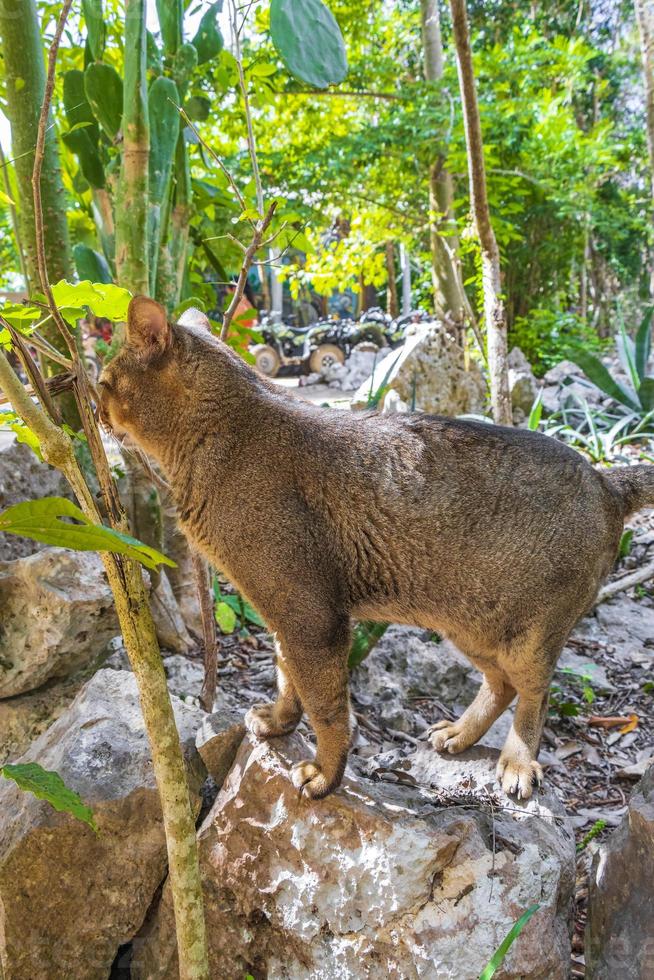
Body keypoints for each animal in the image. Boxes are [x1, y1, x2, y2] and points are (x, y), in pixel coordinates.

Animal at [97, 294, 654, 800]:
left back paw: (517, 762)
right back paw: (459, 733)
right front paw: (278, 723)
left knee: (536, 692)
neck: (224, 437)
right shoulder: (282, 611)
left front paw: (325, 773)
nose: (95, 412)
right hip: (471, 622)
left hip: (530, 634)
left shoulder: (311, 616)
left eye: (103, 383)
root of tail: (606, 481)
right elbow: (286, 678)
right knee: (502, 684)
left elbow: (327, 708)